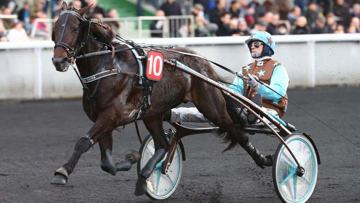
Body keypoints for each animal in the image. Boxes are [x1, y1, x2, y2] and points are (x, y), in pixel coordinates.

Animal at [51, 1, 272, 195]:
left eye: (74, 28)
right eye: (54, 28)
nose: (59, 60)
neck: (107, 66)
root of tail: (202, 61)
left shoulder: (112, 115)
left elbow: (83, 142)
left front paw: (62, 172)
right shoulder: (103, 118)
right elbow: (106, 162)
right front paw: (131, 160)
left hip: (211, 107)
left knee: (237, 131)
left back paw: (264, 159)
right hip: (153, 113)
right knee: (163, 145)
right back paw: (144, 178)